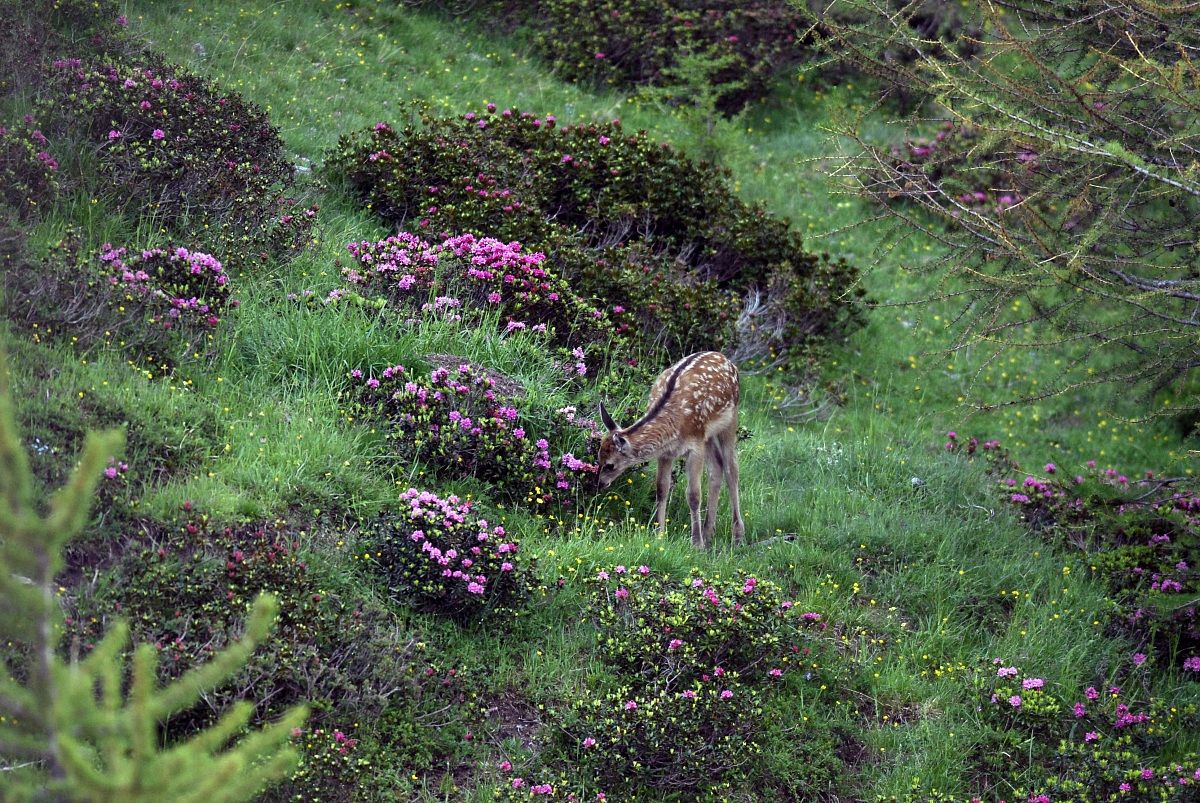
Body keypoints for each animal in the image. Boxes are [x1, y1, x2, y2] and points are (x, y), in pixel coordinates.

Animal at [597, 351, 744, 549]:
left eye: (610, 465)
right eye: (598, 459)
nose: (600, 483)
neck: (674, 424)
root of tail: (726, 359)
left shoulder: (695, 445)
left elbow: (693, 495)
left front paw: (696, 543)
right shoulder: (665, 453)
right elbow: (661, 489)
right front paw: (660, 536)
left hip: (729, 420)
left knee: (731, 470)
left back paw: (737, 536)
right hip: (708, 435)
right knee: (717, 467)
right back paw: (708, 532)